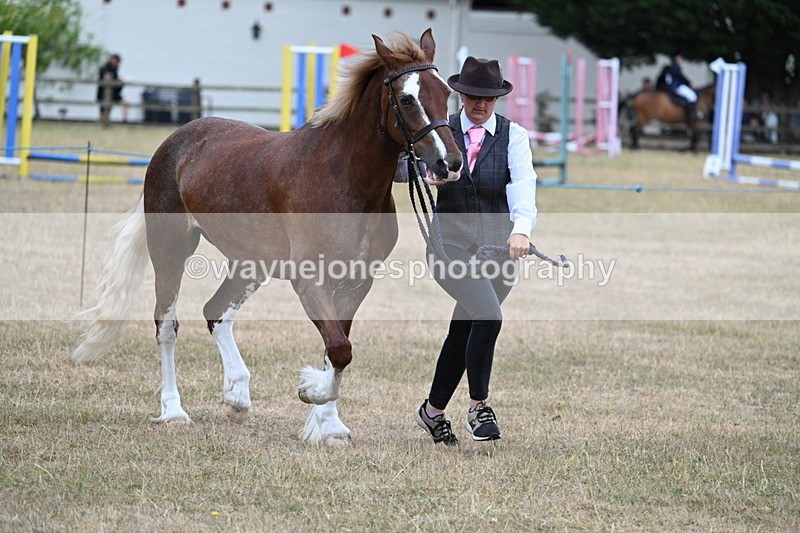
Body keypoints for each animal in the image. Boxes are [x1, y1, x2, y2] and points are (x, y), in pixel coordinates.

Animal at [71, 29, 463, 447]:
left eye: (445, 92)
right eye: (406, 99)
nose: (449, 164)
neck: (343, 178)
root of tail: (176, 141)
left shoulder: (358, 280)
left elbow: (336, 348)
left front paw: (329, 425)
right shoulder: (309, 280)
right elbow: (339, 349)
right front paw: (311, 392)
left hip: (249, 263)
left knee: (215, 312)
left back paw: (237, 396)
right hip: (170, 250)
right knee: (166, 326)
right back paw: (174, 411)